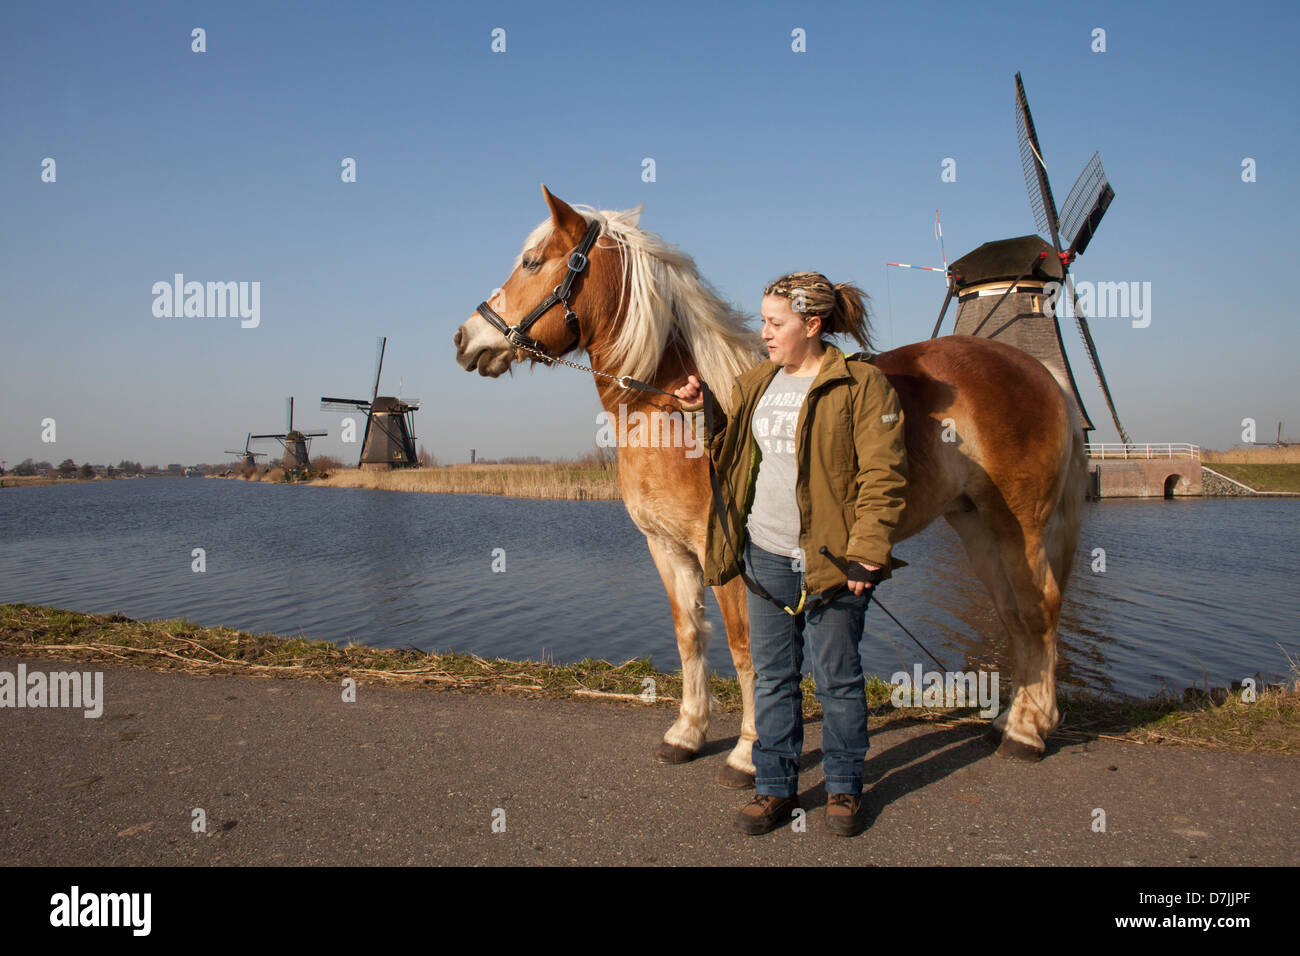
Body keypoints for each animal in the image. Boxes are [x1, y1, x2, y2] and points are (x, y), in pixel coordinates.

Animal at [454, 187, 1086, 785]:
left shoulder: (732, 561)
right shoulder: (667, 550)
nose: (465, 338)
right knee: (1014, 615)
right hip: (976, 524)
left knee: (1040, 610)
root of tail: (1041, 374)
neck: (678, 414)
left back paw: (1028, 732)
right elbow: (690, 637)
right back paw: (1011, 719)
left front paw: (746, 754)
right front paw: (687, 733)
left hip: (1021, 527)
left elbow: (746, 652)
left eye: (533, 262)